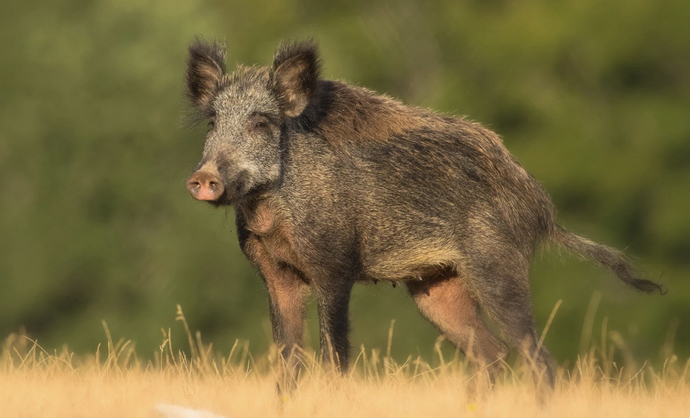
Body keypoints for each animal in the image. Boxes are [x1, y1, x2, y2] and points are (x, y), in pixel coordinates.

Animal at [184, 39, 663, 391]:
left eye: (261, 123)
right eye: (212, 122)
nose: (203, 177)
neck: (272, 214)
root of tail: (541, 209)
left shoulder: (335, 266)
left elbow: (335, 356)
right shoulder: (275, 275)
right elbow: (287, 364)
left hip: (496, 265)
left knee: (537, 356)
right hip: (437, 286)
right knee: (492, 353)